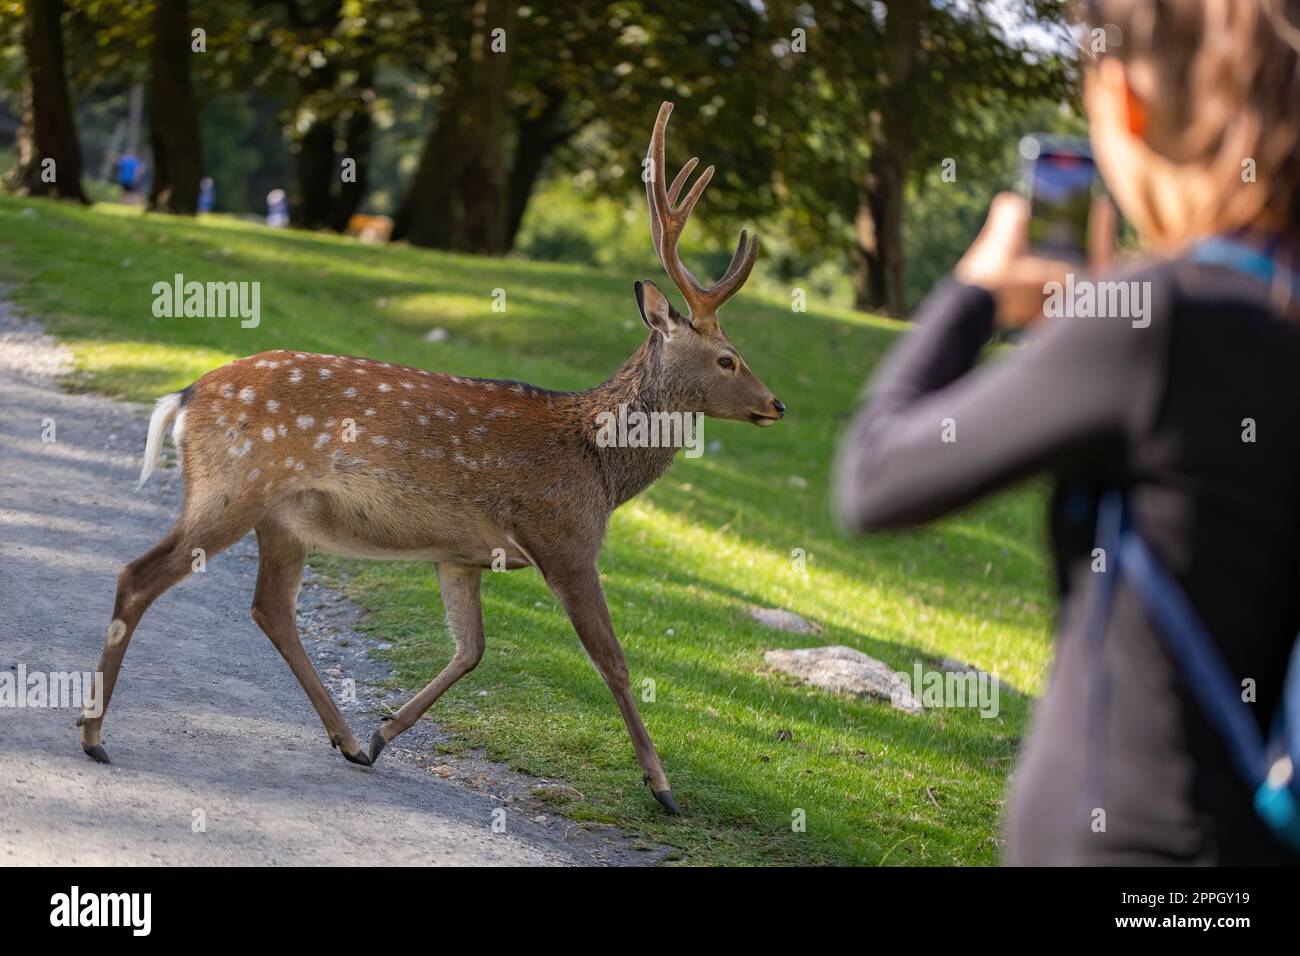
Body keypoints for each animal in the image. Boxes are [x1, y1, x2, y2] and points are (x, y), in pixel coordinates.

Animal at [78, 100, 780, 811]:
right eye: (728, 359)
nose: (776, 404)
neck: (600, 469)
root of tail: (184, 396)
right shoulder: (563, 537)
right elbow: (612, 659)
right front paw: (662, 788)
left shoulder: (461, 554)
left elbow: (471, 650)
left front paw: (384, 733)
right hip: (234, 486)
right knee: (139, 575)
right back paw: (93, 734)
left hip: (283, 519)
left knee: (270, 607)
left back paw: (348, 740)